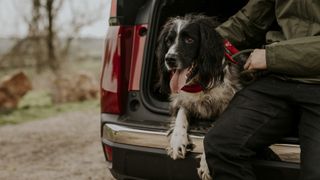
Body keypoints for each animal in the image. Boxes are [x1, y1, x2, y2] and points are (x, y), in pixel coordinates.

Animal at [157, 14, 245, 180]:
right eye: (168, 41)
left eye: (189, 40)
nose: (169, 59)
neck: (201, 83)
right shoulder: (182, 100)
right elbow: (181, 115)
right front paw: (177, 141)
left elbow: (213, 132)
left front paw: (206, 163)